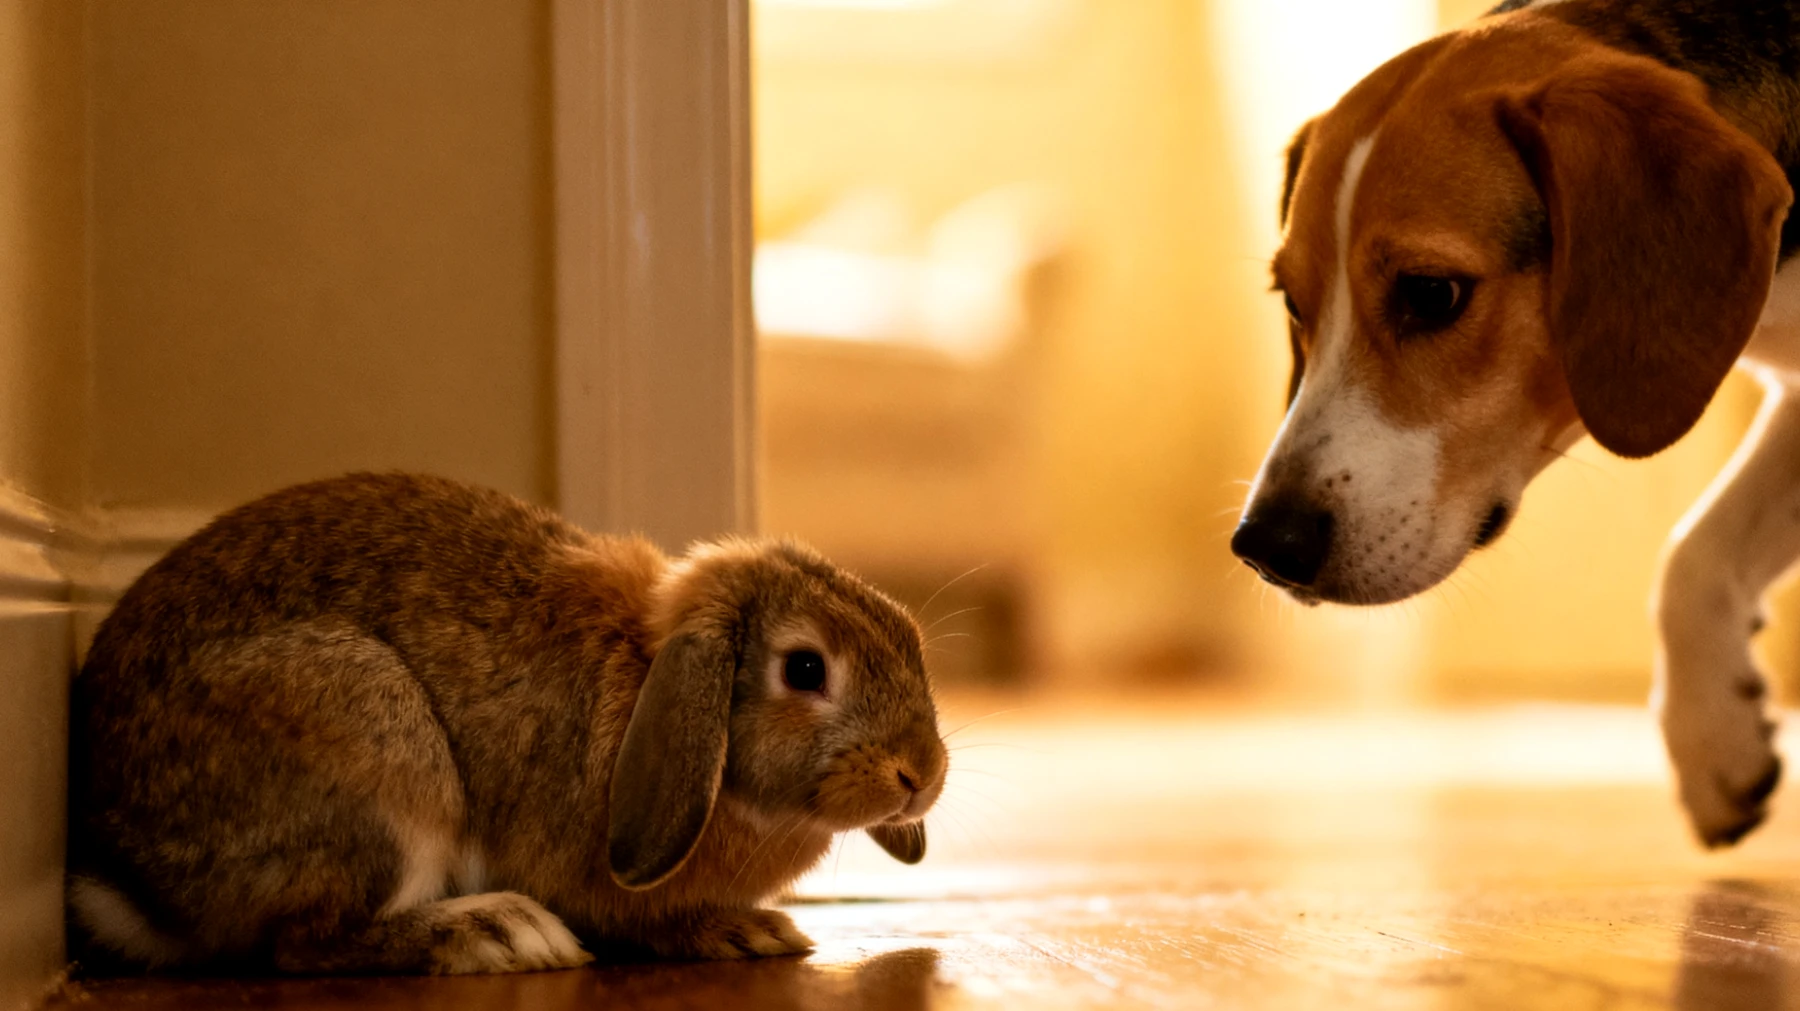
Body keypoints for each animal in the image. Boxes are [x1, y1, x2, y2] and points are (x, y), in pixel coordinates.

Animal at [66, 472, 947, 975]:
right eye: (806, 669)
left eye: (908, 633)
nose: (921, 773)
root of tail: (130, 876)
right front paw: (744, 932)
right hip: (379, 751)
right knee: (304, 943)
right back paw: (497, 933)